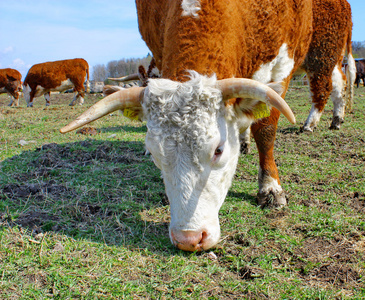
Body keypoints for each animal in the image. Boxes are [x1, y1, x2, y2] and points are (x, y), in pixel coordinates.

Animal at [60, 1, 352, 252]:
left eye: (218, 150)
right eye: (154, 154)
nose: (188, 238)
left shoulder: (282, 63)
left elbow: (266, 130)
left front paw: (270, 187)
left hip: (324, 54)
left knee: (332, 84)